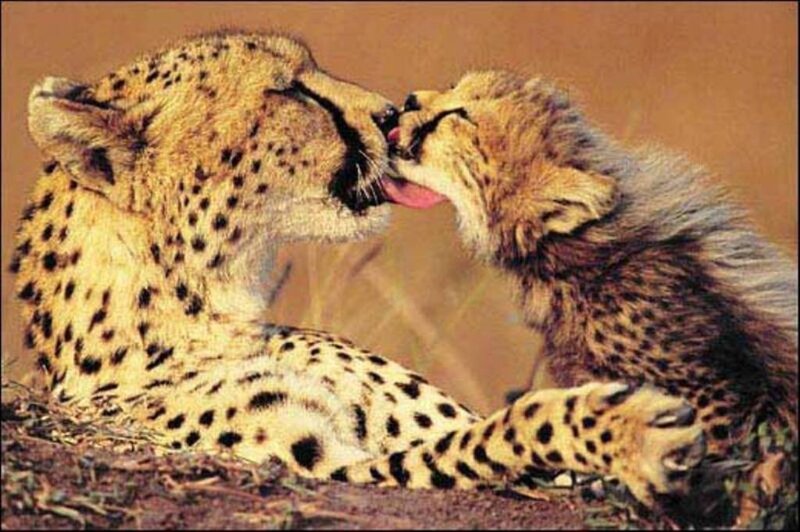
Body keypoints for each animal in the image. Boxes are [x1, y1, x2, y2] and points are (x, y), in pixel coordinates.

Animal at [9, 32, 705, 508]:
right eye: (291, 89)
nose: (391, 113)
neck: (211, 314)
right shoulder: (332, 469)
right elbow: (500, 431)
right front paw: (635, 429)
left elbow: (480, 430)